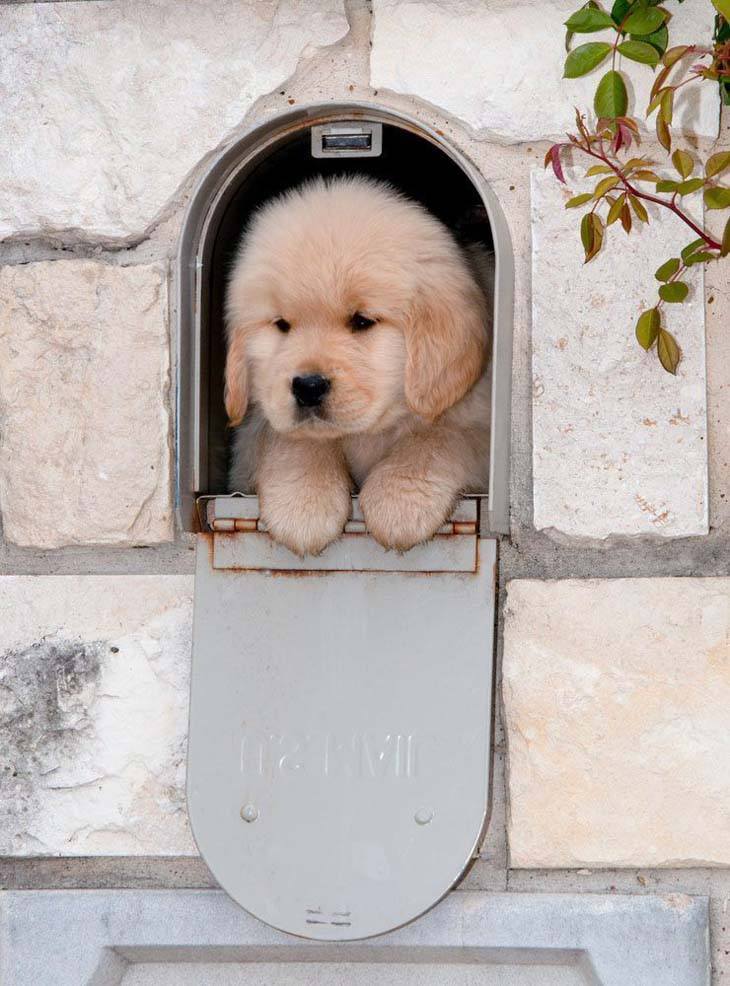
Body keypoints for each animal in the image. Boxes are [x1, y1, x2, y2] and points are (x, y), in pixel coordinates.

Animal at [225, 176, 492, 552]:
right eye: (281, 325)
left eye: (362, 321)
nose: (308, 387)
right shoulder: (258, 428)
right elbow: (293, 438)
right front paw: (303, 504)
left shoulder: (478, 424)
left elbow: (439, 437)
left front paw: (400, 501)